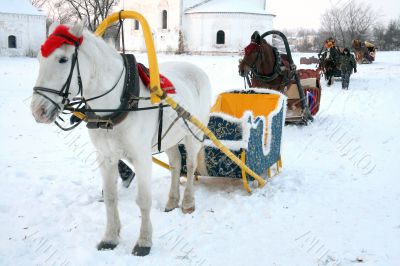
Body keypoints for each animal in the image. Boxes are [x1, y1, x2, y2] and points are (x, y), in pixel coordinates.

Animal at [30, 22, 212, 256]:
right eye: (39, 59)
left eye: (62, 59)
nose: (38, 111)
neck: (118, 101)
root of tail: (196, 69)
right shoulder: (105, 156)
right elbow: (110, 197)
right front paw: (110, 237)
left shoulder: (142, 157)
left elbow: (143, 200)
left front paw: (144, 241)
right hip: (169, 138)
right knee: (175, 163)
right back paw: (172, 201)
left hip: (193, 133)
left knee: (189, 166)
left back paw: (188, 202)